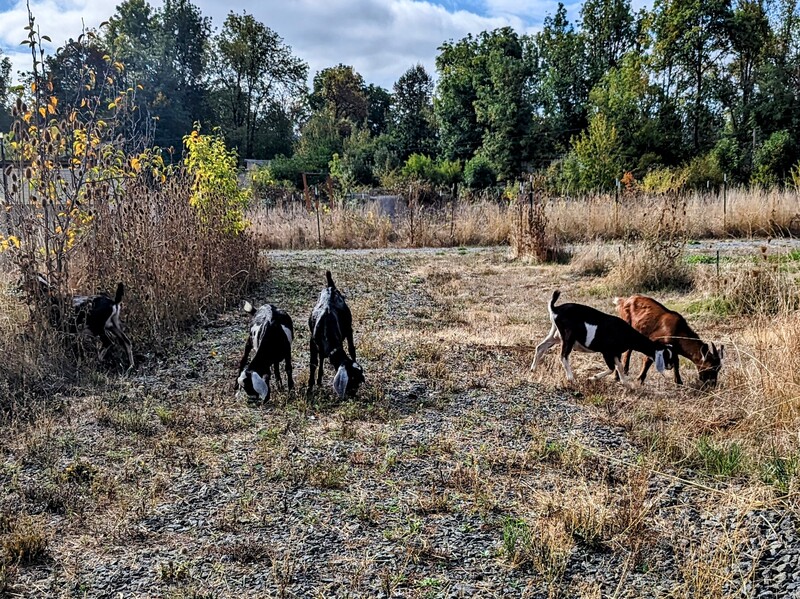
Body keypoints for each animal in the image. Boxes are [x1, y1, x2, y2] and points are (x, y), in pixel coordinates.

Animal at [532, 292, 676, 390]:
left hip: (555, 335)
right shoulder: (607, 352)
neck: (626, 333)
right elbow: (612, 368)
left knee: (540, 347)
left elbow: (619, 366)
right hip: (568, 336)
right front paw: (592, 378)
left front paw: (626, 383)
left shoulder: (616, 353)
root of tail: (555, 309)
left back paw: (533, 369)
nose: (670, 366)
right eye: (666, 355)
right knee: (563, 356)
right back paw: (571, 378)